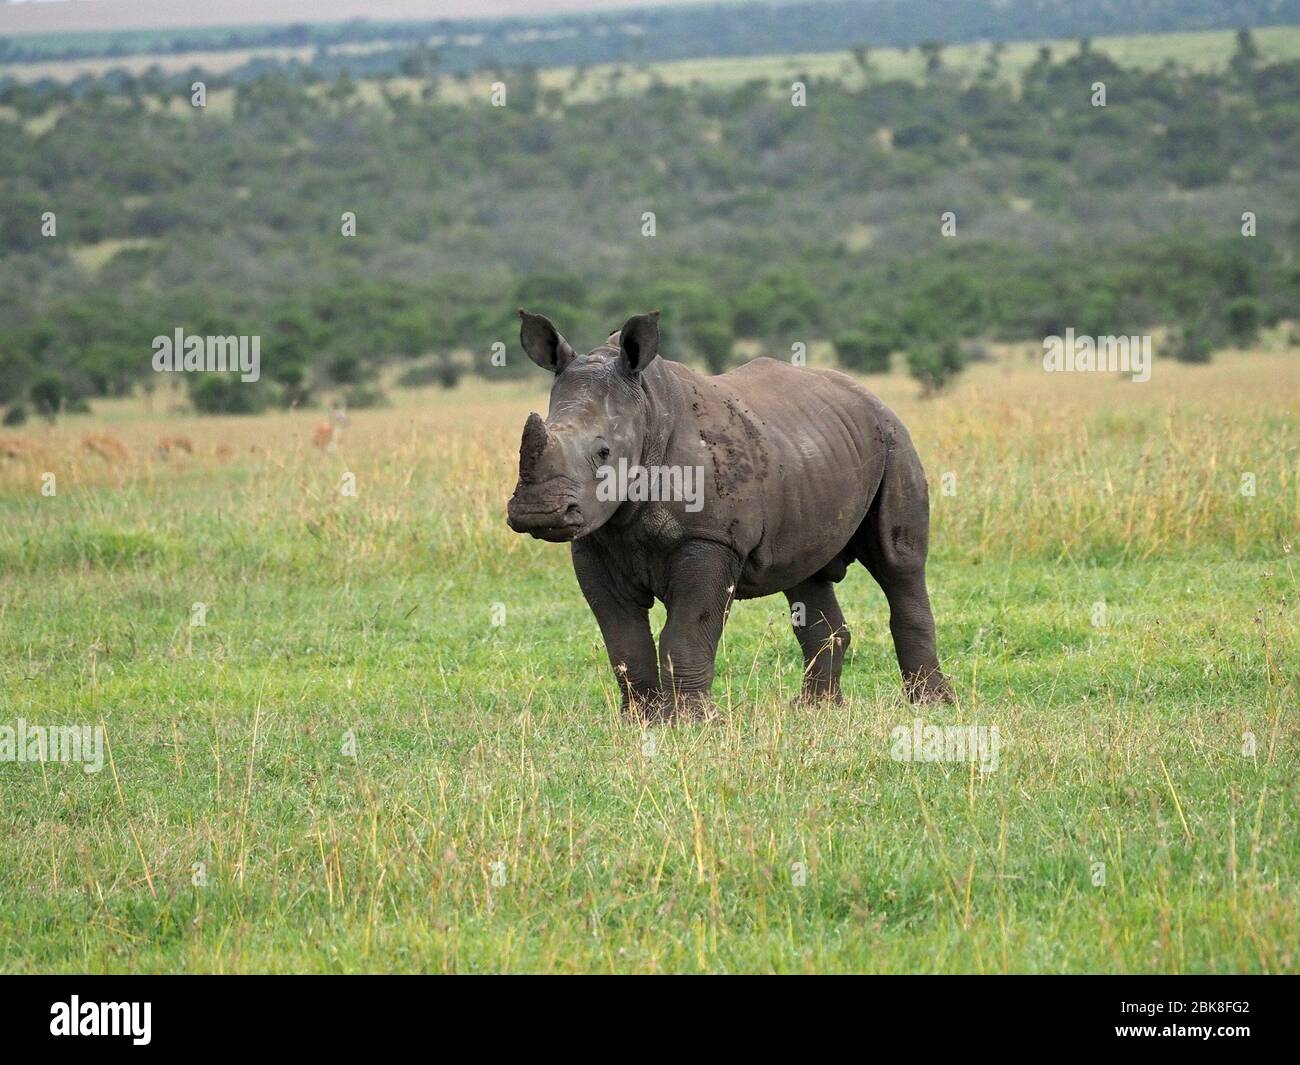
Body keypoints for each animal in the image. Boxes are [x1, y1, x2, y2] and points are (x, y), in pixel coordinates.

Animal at [506, 309, 954, 719]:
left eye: (604, 452)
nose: (537, 512)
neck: (647, 414)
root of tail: (871, 395)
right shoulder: (594, 542)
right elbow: (623, 639)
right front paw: (642, 722)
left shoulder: (710, 538)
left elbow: (686, 632)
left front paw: (691, 724)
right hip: (811, 454)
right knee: (805, 575)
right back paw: (816, 710)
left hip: (894, 439)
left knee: (898, 565)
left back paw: (931, 705)